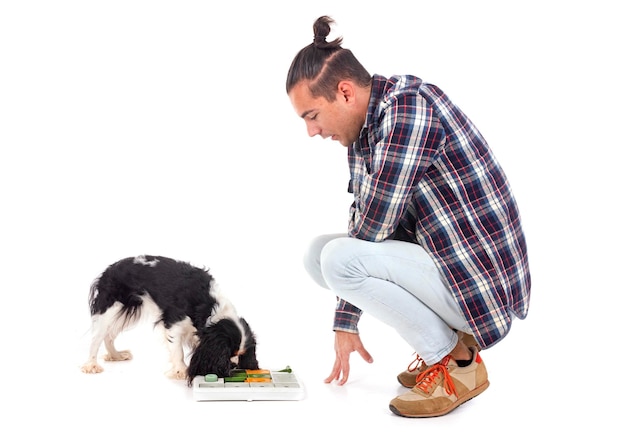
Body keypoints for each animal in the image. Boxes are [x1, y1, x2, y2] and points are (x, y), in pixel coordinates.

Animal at [80, 253, 256, 386]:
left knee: (108, 336)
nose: (234, 365)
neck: (209, 304)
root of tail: (109, 269)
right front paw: (180, 371)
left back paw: (115, 355)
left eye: (240, 354)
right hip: (110, 308)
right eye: (229, 353)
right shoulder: (174, 322)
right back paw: (91, 365)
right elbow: (177, 351)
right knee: (97, 337)